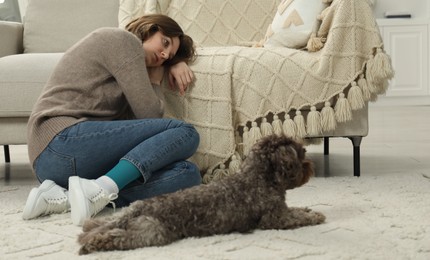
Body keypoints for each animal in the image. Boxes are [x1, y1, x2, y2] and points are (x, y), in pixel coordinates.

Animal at [78, 134, 326, 254]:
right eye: (301, 154)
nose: (311, 167)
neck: (258, 177)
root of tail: (141, 208)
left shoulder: (281, 211)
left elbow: (297, 210)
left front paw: (308, 209)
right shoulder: (274, 218)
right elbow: (297, 217)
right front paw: (315, 216)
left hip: (129, 215)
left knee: (106, 222)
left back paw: (89, 227)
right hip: (153, 233)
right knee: (115, 237)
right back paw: (92, 244)